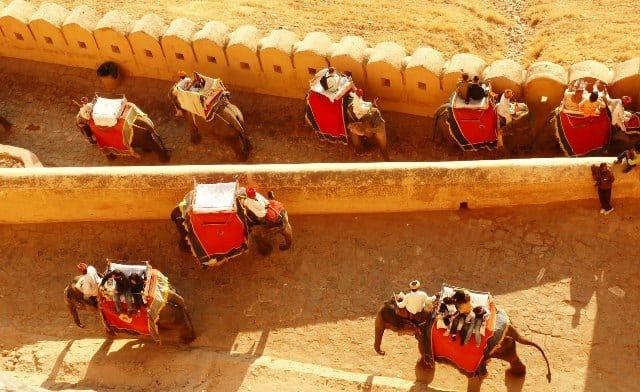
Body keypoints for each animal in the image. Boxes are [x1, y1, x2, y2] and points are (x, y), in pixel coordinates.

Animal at [376, 298, 552, 390]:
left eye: (388, 323)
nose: (383, 352)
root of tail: (511, 328)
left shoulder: (424, 333)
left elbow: (423, 351)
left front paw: (423, 367)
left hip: (499, 346)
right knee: (510, 354)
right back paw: (514, 373)